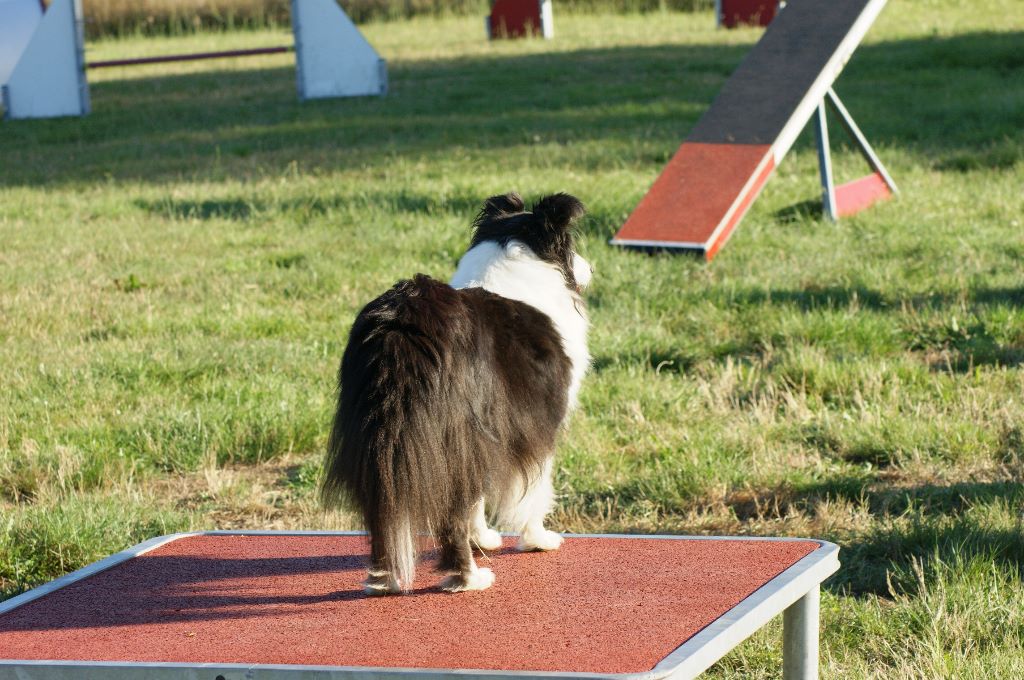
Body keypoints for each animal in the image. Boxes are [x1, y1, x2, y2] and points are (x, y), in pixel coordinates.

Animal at [319, 192, 593, 593]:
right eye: (572, 247)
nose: (592, 269)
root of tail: (401, 328)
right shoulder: (535, 423)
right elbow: (535, 488)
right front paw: (538, 540)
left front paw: (485, 538)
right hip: (451, 430)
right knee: (452, 507)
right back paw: (469, 578)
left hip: (377, 432)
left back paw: (383, 579)